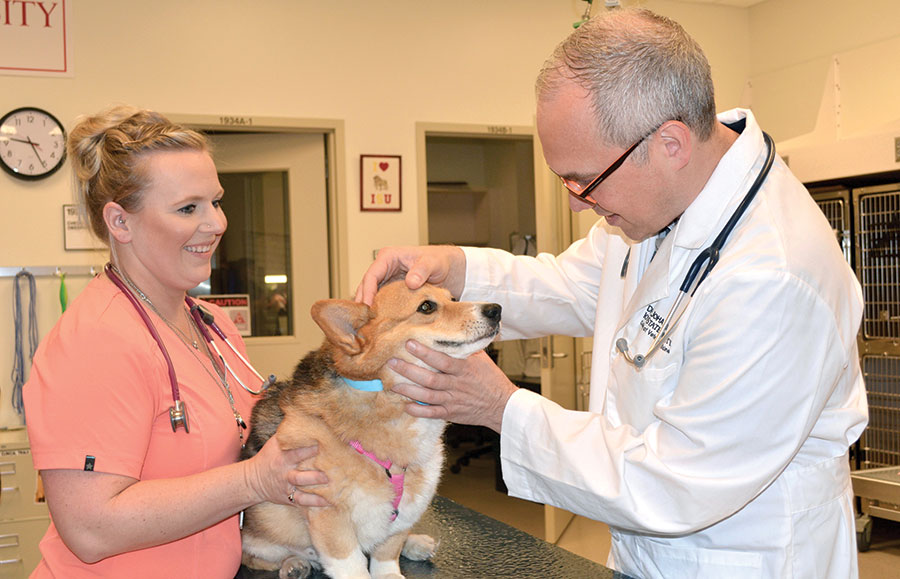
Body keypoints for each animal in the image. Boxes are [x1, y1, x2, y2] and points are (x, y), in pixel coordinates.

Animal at [239, 284, 502, 576]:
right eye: (426, 307)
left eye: (453, 299)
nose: (496, 309)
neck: (388, 399)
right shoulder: (330, 516)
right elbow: (353, 565)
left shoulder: (405, 509)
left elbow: (387, 553)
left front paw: (392, 570)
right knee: (260, 557)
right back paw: (294, 564)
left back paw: (416, 543)